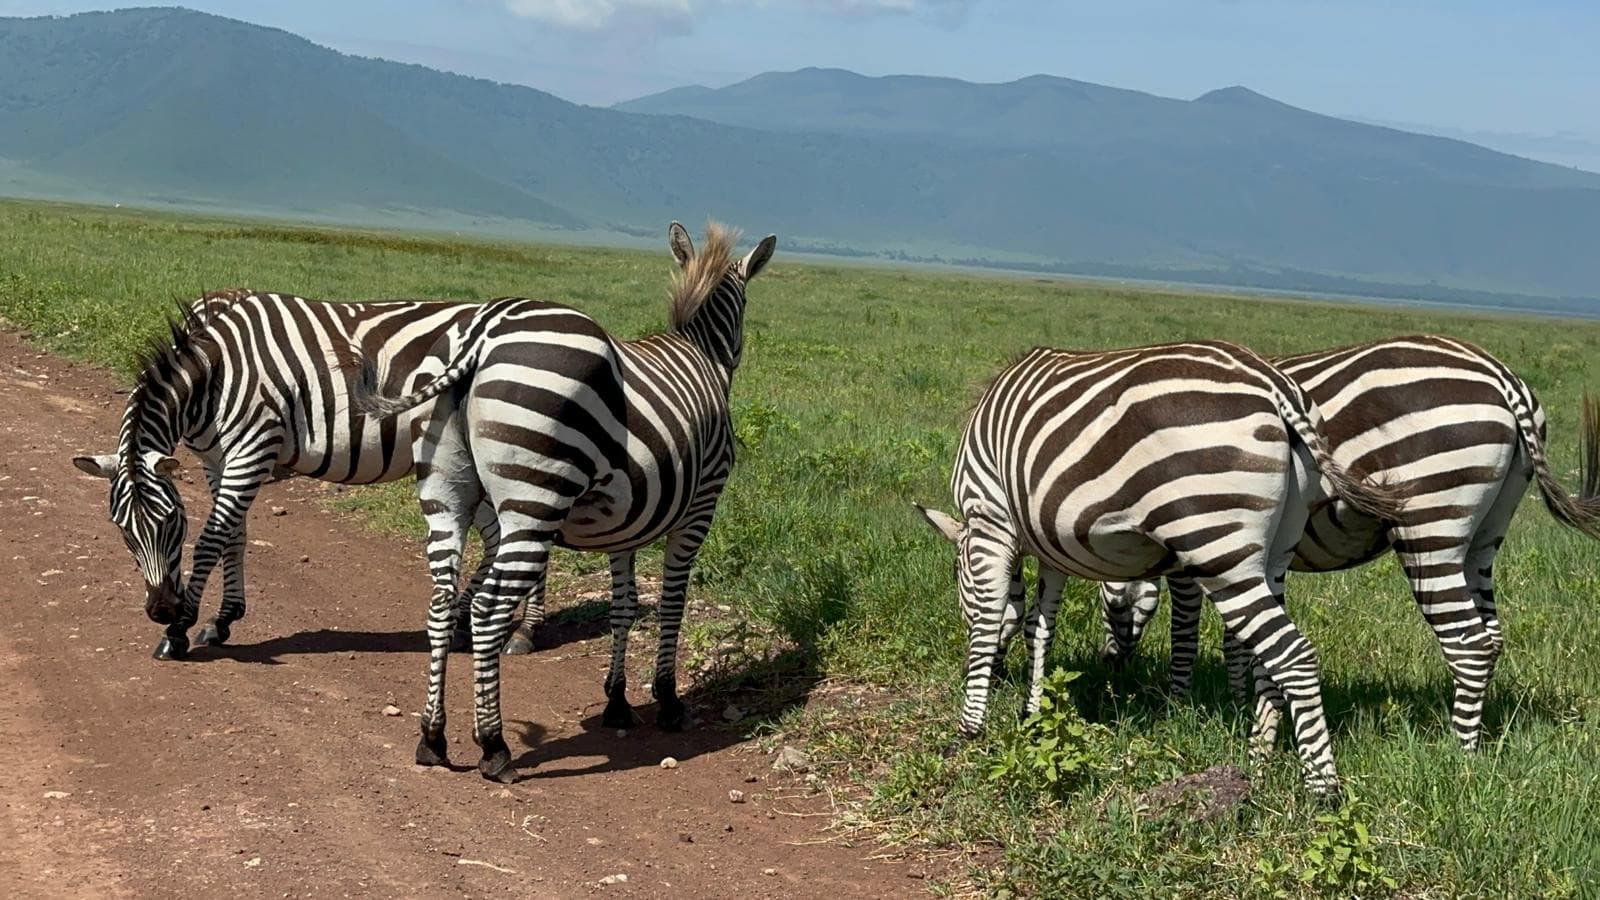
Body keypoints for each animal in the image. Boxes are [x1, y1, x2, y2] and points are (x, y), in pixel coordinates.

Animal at [71, 290, 486, 660]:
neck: (213, 378)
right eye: (123, 529)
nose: (161, 611)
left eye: (173, 521)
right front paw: (223, 620)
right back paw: (469, 627)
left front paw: (179, 631)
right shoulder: (217, 459)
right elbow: (234, 536)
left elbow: (211, 540)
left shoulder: (252, 450)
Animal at [351, 222, 776, 782]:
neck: (700, 353)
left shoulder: (628, 523)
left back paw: (433, 738)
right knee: (488, 609)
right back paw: (494, 746)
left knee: (442, 603)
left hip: (445, 491)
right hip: (534, 495)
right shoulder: (699, 507)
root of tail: (485, 328)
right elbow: (671, 605)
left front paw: (616, 701)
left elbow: (624, 607)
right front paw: (666, 700)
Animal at [917, 340, 1404, 794]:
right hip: (1275, 550)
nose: (999, 679)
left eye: (956, 576)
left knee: (1294, 654)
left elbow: (991, 617)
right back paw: (1257, 761)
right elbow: (1041, 626)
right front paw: (1033, 714)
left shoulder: (990, 516)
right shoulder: (1049, 545)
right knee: (1268, 660)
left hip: (1215, 543)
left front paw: (969, 728)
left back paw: (1323, 789)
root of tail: (1275, 386)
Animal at [1098, 335, 1600, 751]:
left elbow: (1186, 627)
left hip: (1433, 519)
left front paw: (1178, 704)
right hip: (1486, 534)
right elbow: (1240, 638)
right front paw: (1238, 702)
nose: (1111, 675)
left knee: (1469, 643)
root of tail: (1501, 375)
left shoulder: (1197, 544)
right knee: (1491, 636)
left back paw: (1461, 755)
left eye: (1111, 605)